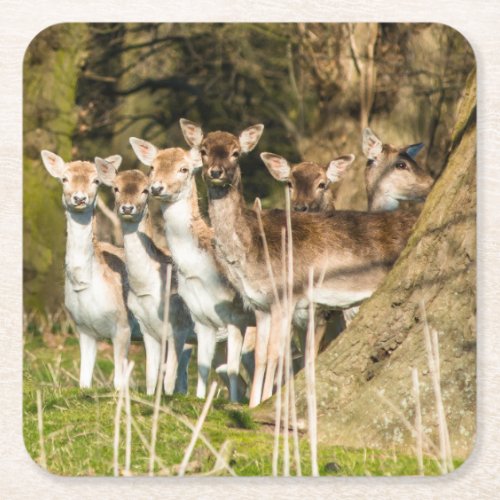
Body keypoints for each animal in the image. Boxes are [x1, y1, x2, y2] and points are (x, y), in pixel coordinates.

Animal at [40, 151, 137, 390]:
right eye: (64, 178)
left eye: (96, 181)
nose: (80, 198)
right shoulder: (82, 327)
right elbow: (84, 381)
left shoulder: (123, 325)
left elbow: (119, 383)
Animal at [94, 162, 195, 396]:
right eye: (116, 188)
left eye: (145, 190)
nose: (127, 208)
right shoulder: (147, 328)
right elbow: (150, 376)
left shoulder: (180, 326)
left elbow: (168, 380)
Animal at [128, 137, 254, 402]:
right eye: (152, 167)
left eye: (184, 169)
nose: (156, 188)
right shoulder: (201, 318)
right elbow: (203, 368)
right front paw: (199, 400)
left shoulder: (236, 316)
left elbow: (232, 369)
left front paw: (233, 406)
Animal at [181, 118, 422, 406]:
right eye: (203, 150)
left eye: (235, 152)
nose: (215, 172)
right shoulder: (260, 305)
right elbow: (261, 356)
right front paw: (253, 405)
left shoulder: (288, 295)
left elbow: (277, 355)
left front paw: (267, 401)